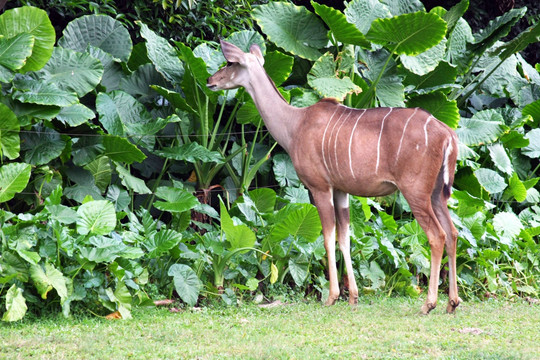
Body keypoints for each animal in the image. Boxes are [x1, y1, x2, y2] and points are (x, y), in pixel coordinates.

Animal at [207, 40, 460, 316]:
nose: (210, 80)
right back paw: (452, 302)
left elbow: (327, 238)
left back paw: (429, 303)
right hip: (437, 194)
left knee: (437, 235)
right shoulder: (341, 190)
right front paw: (354, 297)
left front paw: (331, 297)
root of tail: (447, 135)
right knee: (453, 232)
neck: (294, 125)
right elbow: (344, 239)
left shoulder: (319, 186)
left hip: (415, 191)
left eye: (230, 63)